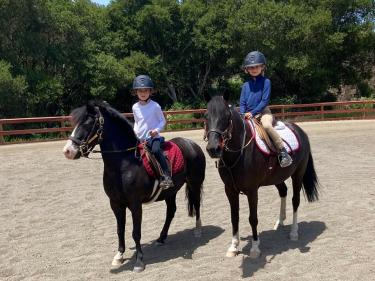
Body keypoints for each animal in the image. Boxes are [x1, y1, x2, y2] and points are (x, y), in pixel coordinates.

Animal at [63, 101, 207, 272]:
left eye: (88, 123)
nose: (68, 151)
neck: (124, 164)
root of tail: (192, 144)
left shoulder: (135, 204)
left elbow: (136, 232)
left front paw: (139, 261)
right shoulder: (115, 204)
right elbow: (120, 230)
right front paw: (119, 256)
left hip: (194, 184)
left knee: (196, 204)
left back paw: (198, 231)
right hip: (170, 191)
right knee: (171, 211)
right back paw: (161, 238)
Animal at [206, 96, 320, 258]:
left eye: (227, 117)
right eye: (206, 117)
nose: (213, 148)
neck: (239, 153)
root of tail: (300, 130)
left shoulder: (252, 191)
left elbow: (253, 219)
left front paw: (255, 248)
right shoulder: (230, 190)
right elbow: (234, 217)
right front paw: (233, 247)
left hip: (298, 174)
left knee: (295, 201)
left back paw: (294, 232)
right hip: (277, 177)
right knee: (283, 192)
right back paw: (280, 222)